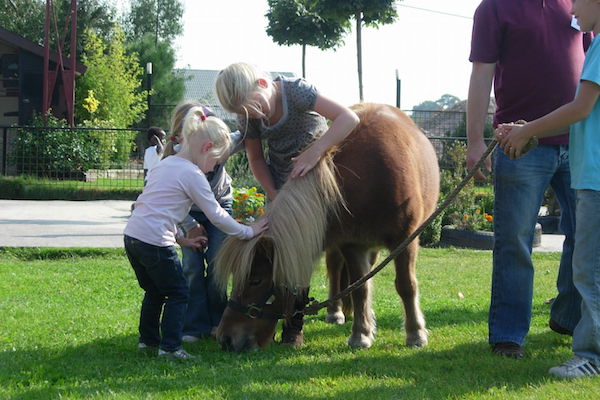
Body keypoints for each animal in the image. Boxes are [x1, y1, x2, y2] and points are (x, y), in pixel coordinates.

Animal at [216, 102, 440, 350]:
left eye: (255, 280)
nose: (225, 338)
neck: (367, 177)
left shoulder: (405, 239)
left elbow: (406, 285)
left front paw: (415, 334)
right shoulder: (351, 244)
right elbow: (359, 287)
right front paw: (361, 334)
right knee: (335, 270)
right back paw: (337, 312)